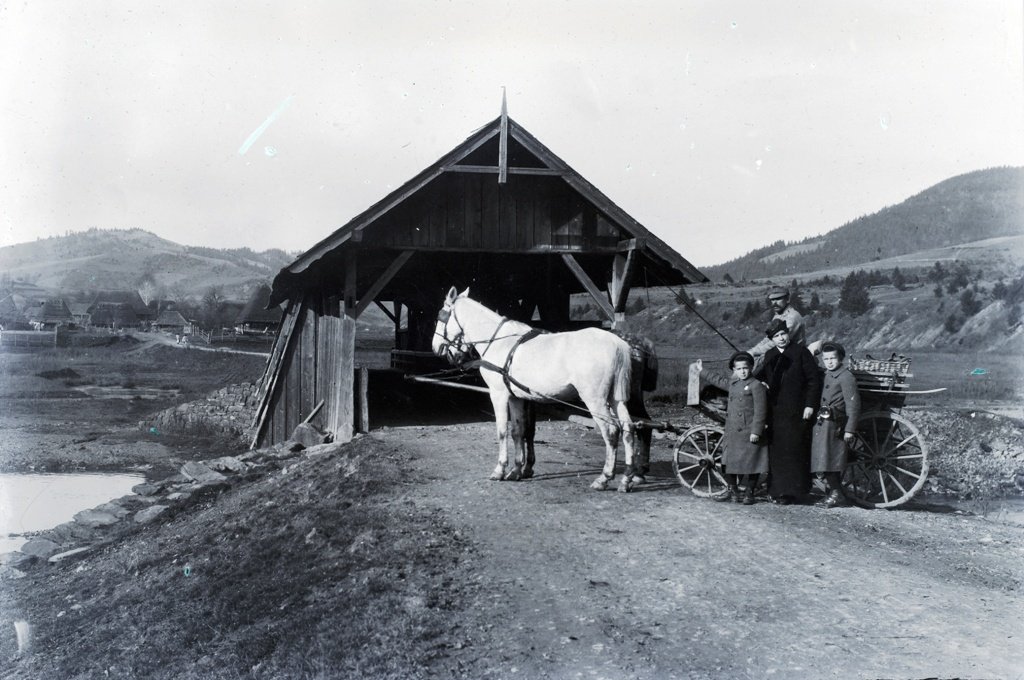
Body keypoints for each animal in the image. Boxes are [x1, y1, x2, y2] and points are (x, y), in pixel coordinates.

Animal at [432, 288, 638, 493]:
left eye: (441, 315)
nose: (436, 348)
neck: (499, 342)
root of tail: (617, 343)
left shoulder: (499, 395)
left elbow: (502, 431)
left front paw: (500, 470)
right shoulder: (516, 397)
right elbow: (518, 431)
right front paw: (517, 470)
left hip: (595, 400)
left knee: (611, 431)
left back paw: (604, 478)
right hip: (615, 399)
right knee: (628, 428)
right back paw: (626, 478)